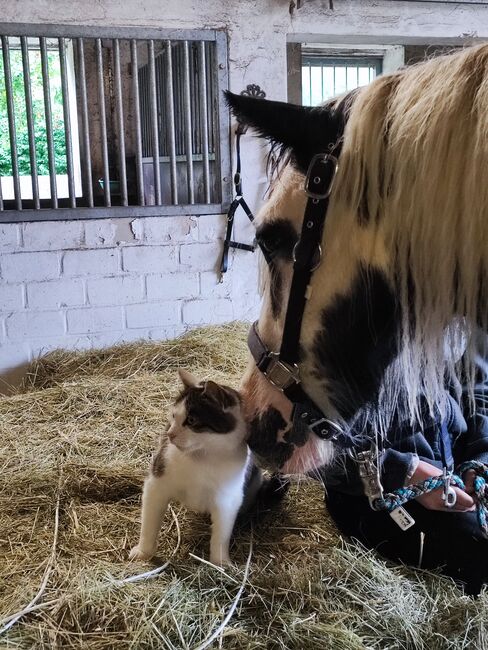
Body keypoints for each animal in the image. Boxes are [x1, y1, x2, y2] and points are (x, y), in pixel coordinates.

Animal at [127, 368, 262, 564]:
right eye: (174, 416)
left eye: (191, 420)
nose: (170, 434)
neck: (202, 457)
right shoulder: (157, 481)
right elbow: (150, 520)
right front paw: (144, 551)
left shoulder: (228, 499)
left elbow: (222, 533)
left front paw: (221, 562)